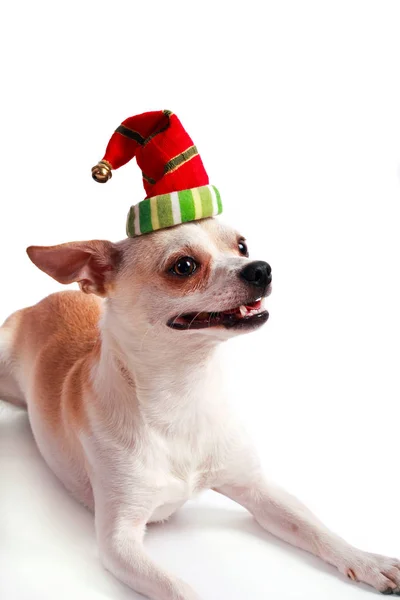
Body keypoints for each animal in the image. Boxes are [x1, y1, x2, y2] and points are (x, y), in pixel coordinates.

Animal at [0, 218, 400, 596]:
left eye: (242, 245)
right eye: (184, 266)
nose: (261, 268)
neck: (182, 395)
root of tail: (43, 300)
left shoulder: (258, 490)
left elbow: (315, 528)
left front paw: (366, 561)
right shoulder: (118, 541)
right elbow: (179, 587)